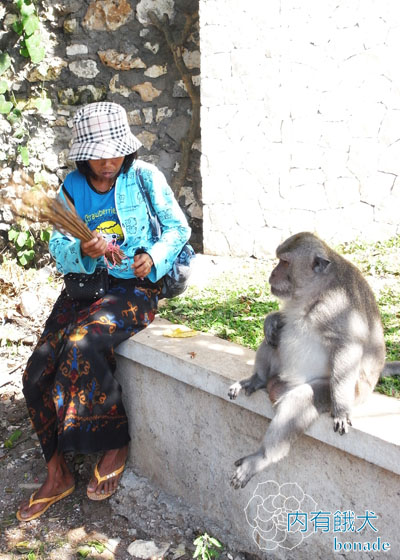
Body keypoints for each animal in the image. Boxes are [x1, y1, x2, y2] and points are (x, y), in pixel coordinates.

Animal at [228, 232, 396, 490]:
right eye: (278, 260)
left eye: (285, 262)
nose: (272, 273)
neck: (316, 292)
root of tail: (278, 386)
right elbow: (283, 322)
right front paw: (271, 321)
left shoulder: (338, 307)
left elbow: (347, 349)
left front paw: (341, 410)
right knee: (274, 341)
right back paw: (257, 379)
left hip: (348, 391)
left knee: (301, 399)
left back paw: (262, 458)